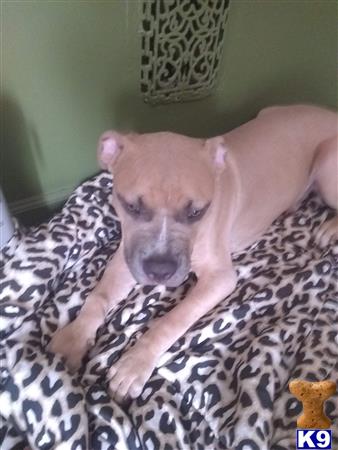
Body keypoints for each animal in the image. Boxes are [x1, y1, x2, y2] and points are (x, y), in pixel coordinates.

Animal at [48, 104, 338, 398]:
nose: (159, 270)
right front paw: (74, 337)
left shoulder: (219, 278)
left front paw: (134, 363)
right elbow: (98, 296)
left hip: (327, 164)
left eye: (197, 212)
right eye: (131, 206)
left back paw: (329, 228)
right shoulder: (124, 258)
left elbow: (173, 320)